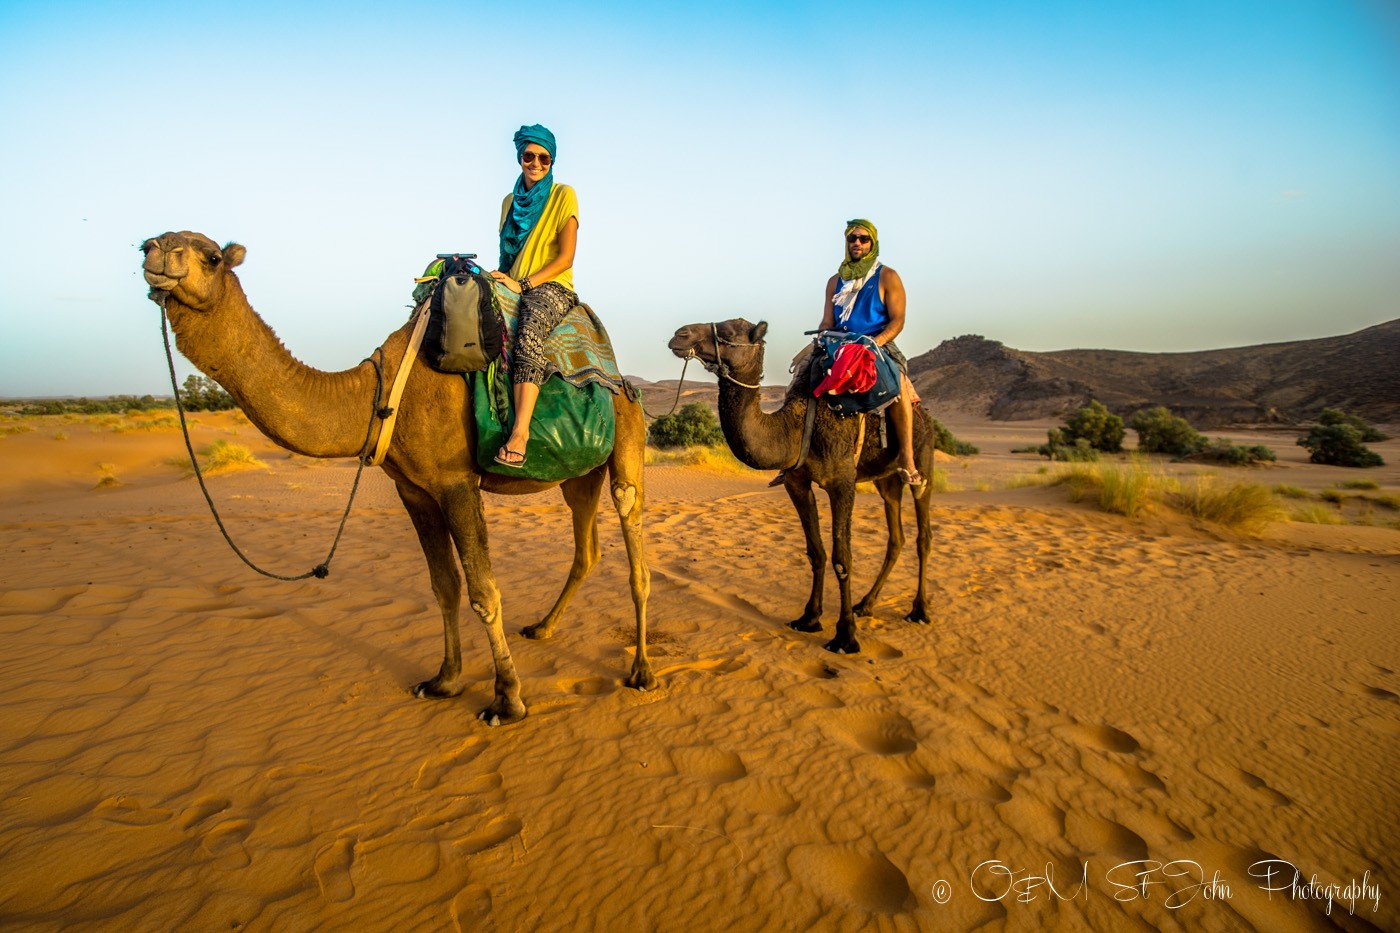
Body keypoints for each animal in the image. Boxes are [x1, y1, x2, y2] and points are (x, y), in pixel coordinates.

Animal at [139, 228, 652, 722]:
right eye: (159, 239)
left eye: (211, 257)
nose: (154, 248)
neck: (377, 393)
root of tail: (620, 379)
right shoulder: (413, 490)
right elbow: (443, 586)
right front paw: (444, 681)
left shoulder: (455, 483)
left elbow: (484, 592)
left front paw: (507, 701)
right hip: (579, 475)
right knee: (586, 548)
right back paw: (543, 627)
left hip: (627, 441)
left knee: (634, 545)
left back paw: (641, 671)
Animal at [669, 316, 940, 650]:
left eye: (728, 331)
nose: (679, 335)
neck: (796, 428)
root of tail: (925, 414)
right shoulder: (796, 482)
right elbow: (816, 551)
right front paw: (809, 618)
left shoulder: (843, 481)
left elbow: (842, 558)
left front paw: (845, 636)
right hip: (886, 480)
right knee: (896, 536)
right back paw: (866, 604)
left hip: (923, 462)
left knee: (923, 534)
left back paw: (919, 610)